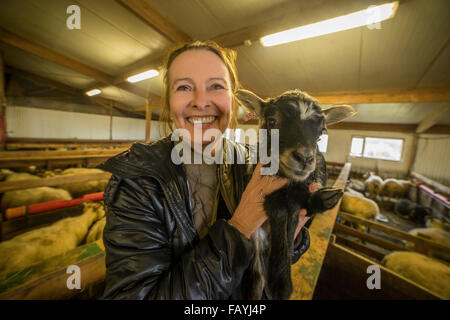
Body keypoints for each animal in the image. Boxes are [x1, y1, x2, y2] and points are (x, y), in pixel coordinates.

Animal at [237, 88, 356, 300]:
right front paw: (279, 282)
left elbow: (294, 221)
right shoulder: (266, 193)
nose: (304, 158)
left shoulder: (300, 194)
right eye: (272, 122)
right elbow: (280, 220)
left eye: (322, 132)